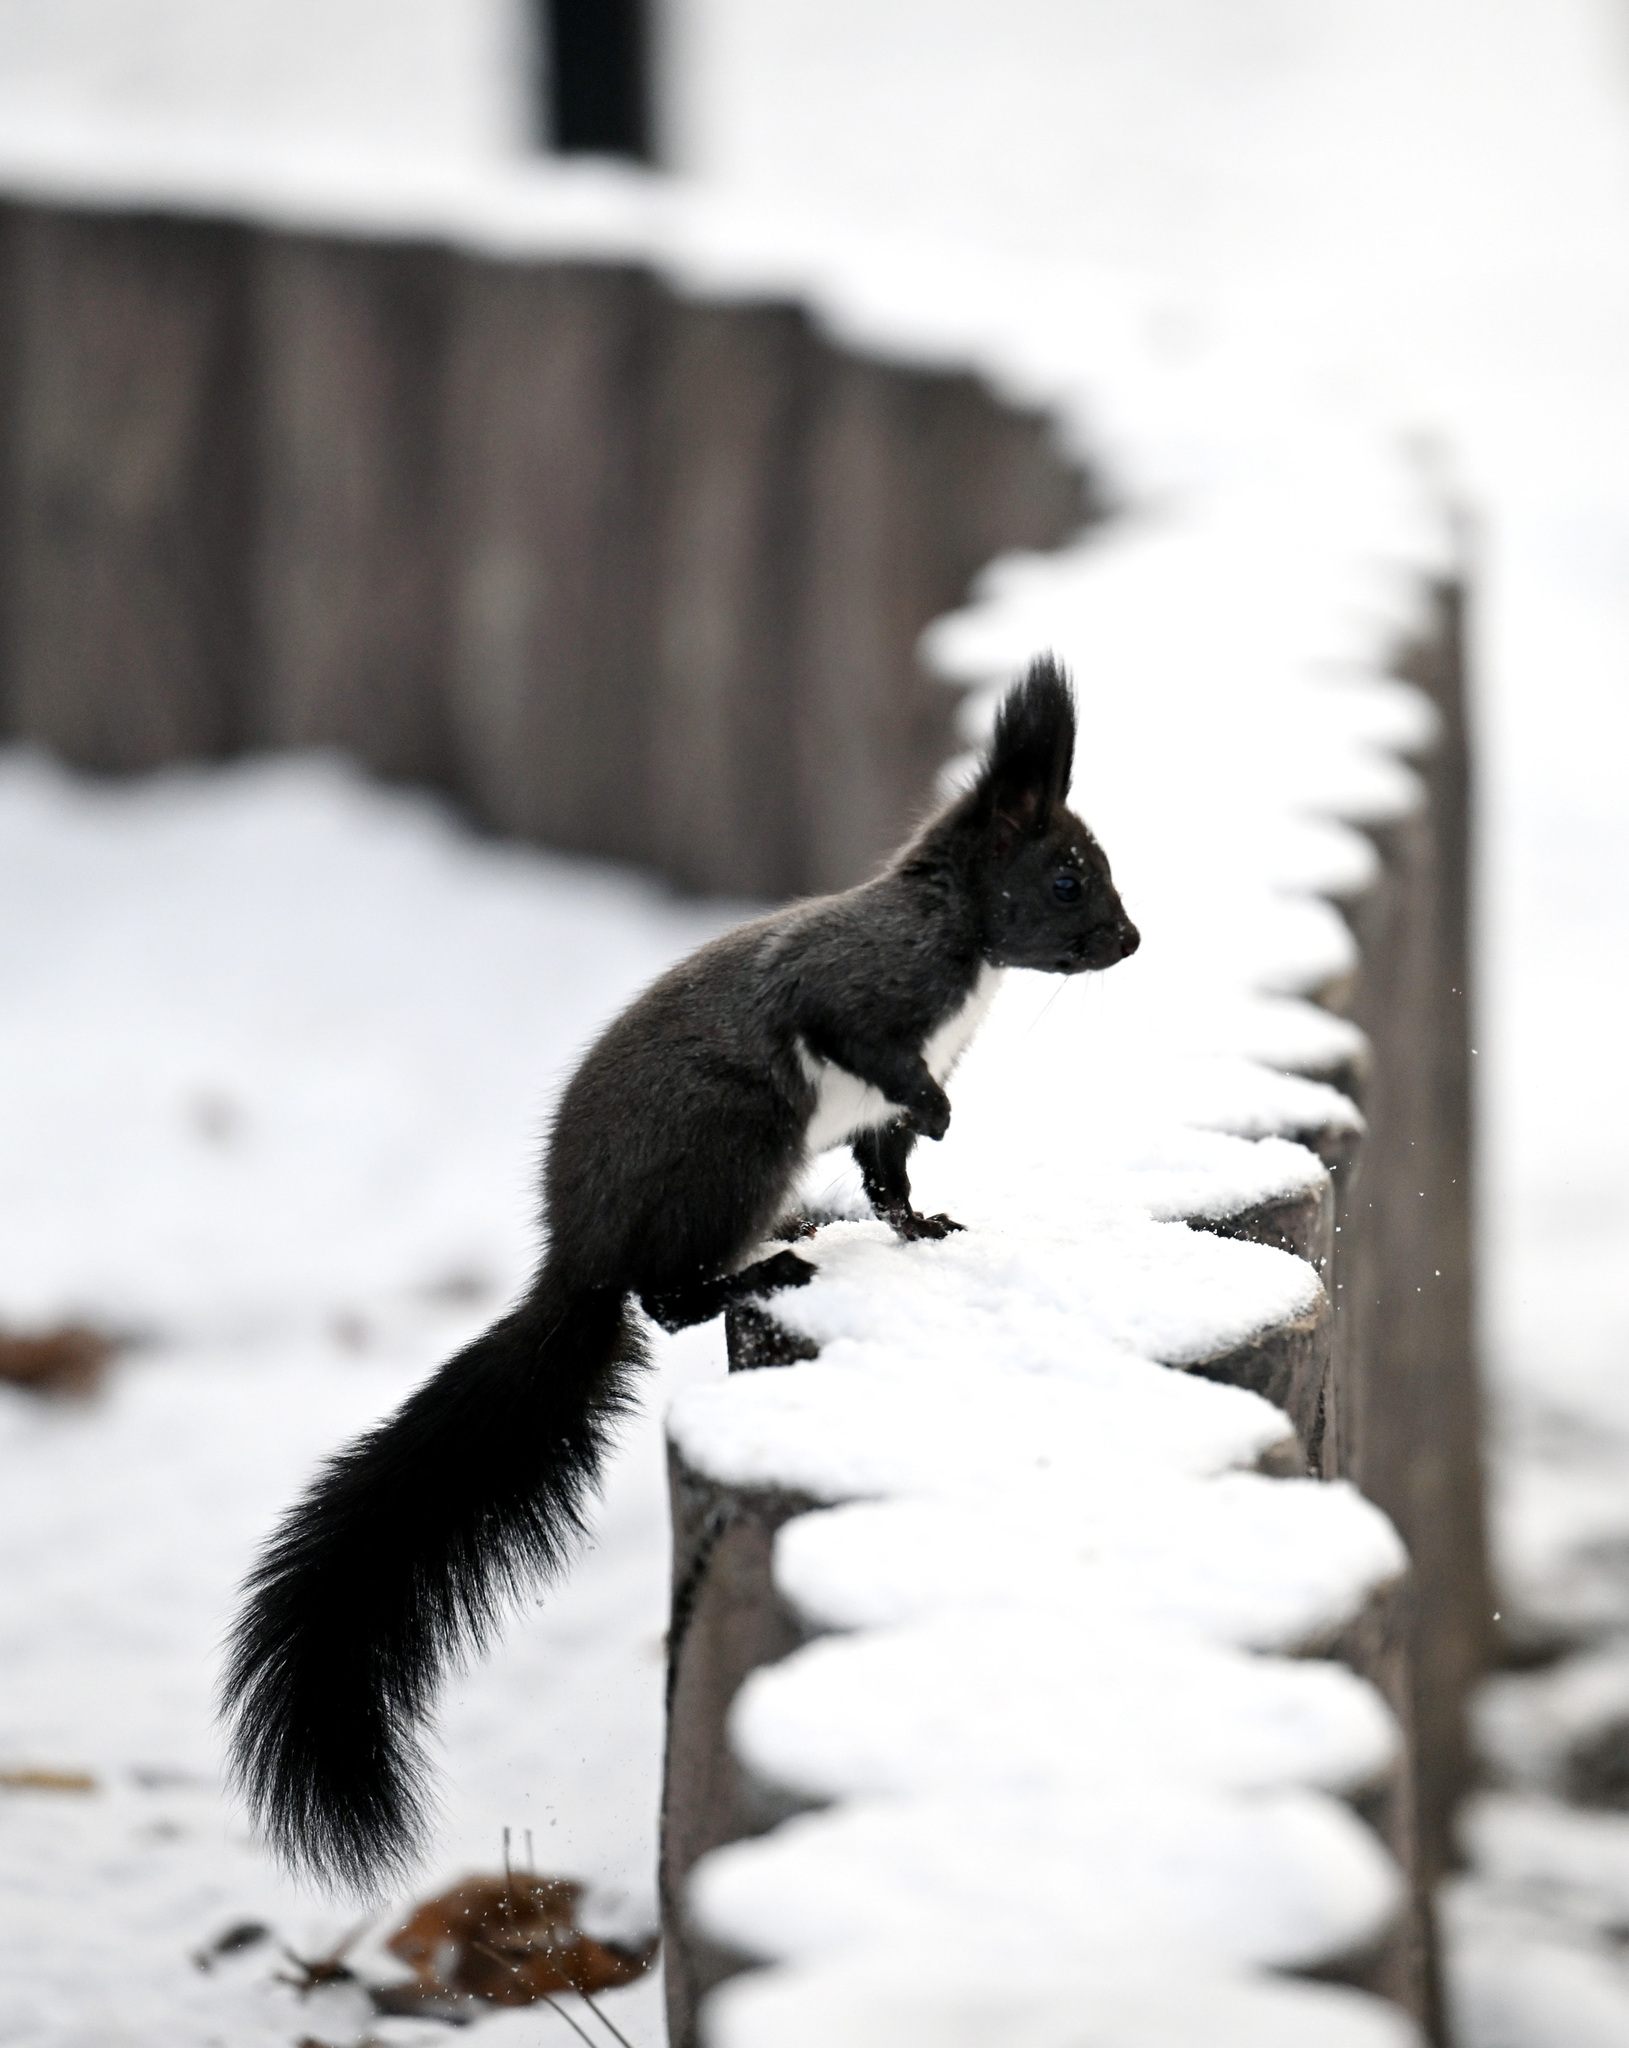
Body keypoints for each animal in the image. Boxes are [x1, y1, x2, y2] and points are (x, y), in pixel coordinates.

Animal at [223, 655, 1139, 1884]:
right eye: (1065, 877)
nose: (1130, 941)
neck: (959, 940)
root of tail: (577, 1259)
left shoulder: (877, 1115)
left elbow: (889, 1174)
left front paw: (927, 1223)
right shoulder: (858, 992)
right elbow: (875, 1056)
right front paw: (939, 1126)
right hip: (737, 1138)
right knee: (662, 1298)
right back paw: (760, 1272)